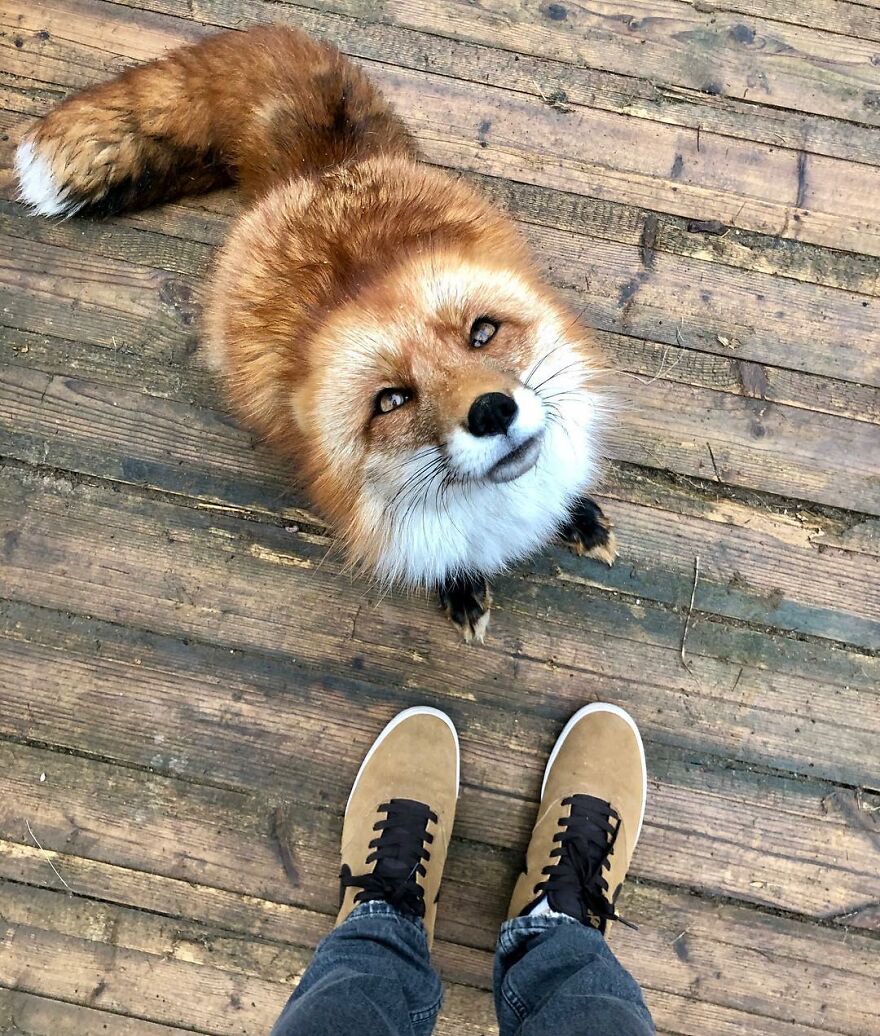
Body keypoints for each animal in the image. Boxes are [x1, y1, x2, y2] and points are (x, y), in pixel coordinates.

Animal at [14, 24, 617, 641]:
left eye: (482, 333)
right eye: (391, 400)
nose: (492, 411)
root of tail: (316, 171)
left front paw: (578, 516)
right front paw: (462, 585)